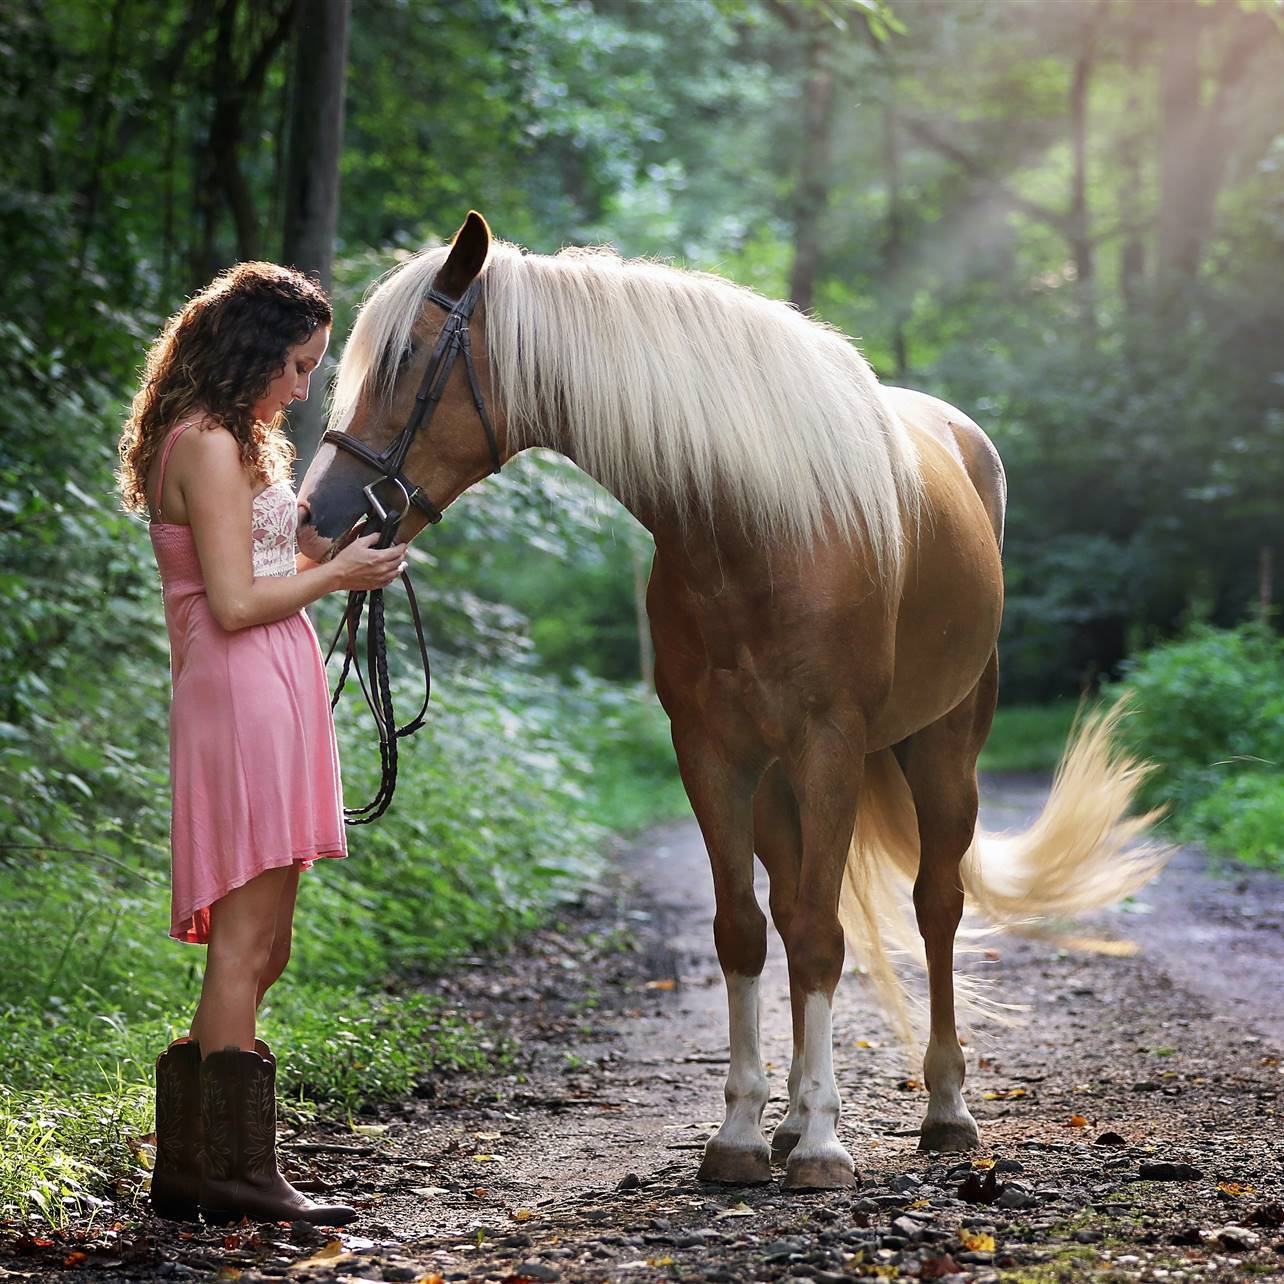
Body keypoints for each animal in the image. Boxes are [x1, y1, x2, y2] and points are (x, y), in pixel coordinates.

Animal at [300, 213, 1165, 1191]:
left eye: (407, 358)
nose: (316, 517)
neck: (754, 526)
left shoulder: (830, 746)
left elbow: (826, 936)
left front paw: (825, 1146)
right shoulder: (713, 754)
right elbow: (745, 932)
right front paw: (747, 1134)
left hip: (943, 751)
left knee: (935, 906)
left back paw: (945, 1109)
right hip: (783, 783)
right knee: (791, 911)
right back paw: (790, 1119)